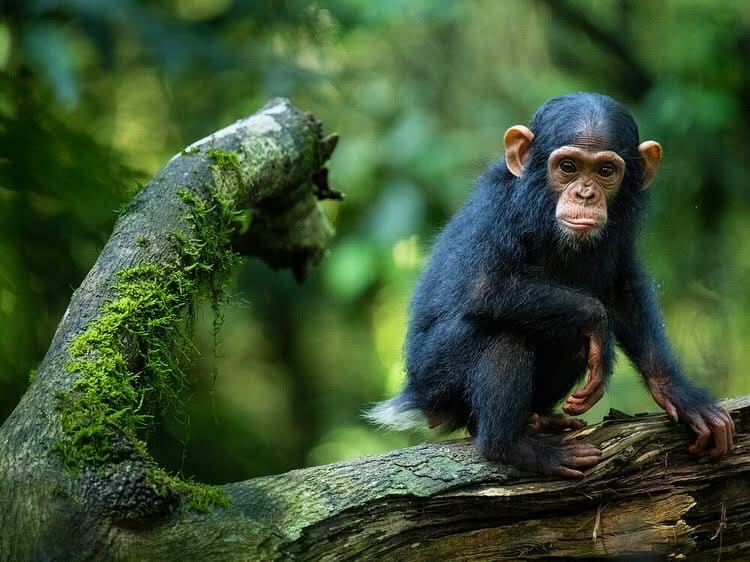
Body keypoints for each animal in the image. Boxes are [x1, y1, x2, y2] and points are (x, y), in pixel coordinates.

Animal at [367, 92, 735, 478]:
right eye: (568, 167)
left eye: (605, 171)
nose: (585, 194)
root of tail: (415, 397)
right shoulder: (497, 211)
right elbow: (484, 287)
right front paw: (599, 327)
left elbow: (621, 289)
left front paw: (678, 392)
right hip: (437, 377)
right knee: (504, 338)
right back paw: (517, 446)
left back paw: (540, 419)